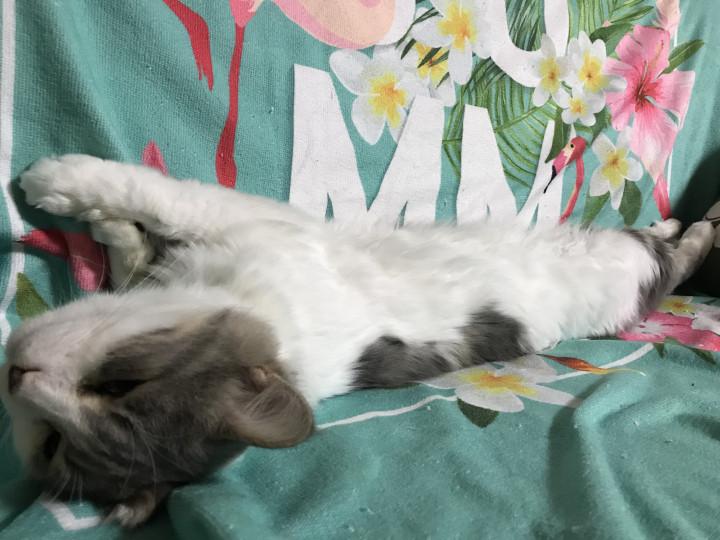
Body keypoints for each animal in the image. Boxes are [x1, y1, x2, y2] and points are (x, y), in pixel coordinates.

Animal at [0, 154, 714, 527]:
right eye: (52, 443)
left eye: (119, 385)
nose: (16, 374)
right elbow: (132, 256)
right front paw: (113, 232)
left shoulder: (250, 221)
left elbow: (155, 195)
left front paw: (56, 182)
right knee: (662, 239)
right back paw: (678, 219)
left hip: (627, 266)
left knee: (675, 254)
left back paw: (699, 222)